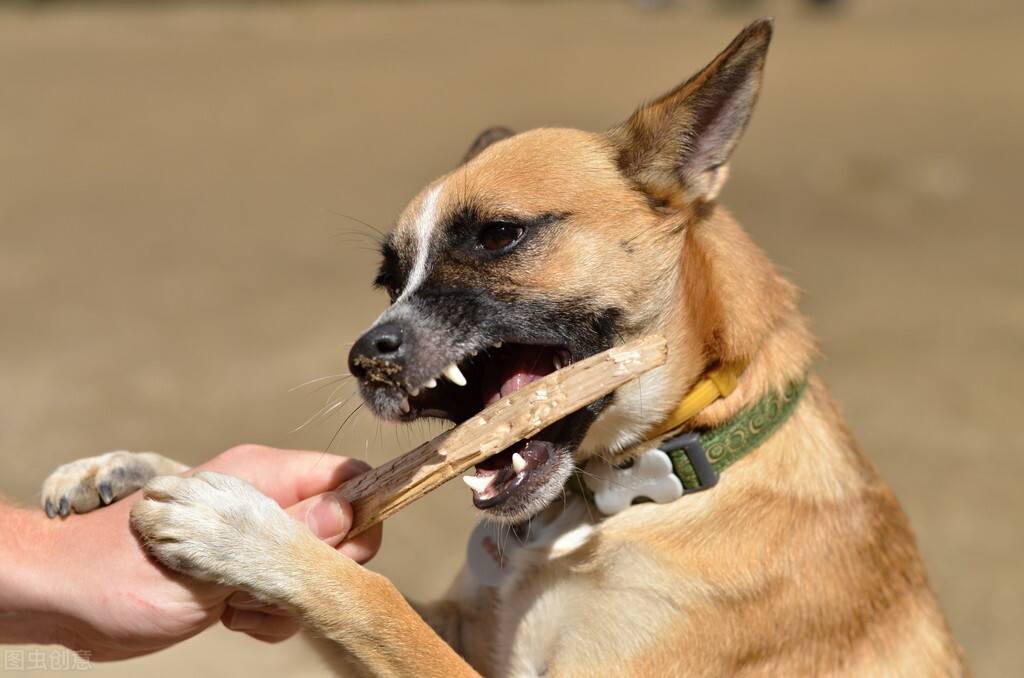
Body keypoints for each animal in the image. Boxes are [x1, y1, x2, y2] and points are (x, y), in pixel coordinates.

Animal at [41, 18, 966, 675]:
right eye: (387, 278)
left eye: (497, 235)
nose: (364, 360)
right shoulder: (468, 630)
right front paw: (131, 468)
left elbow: (372, 596)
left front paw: (241, 527)